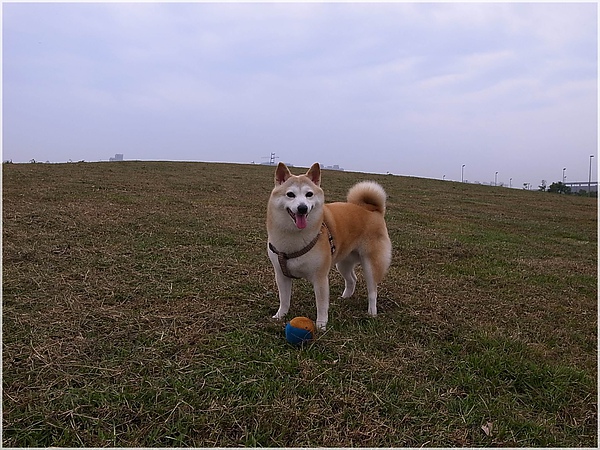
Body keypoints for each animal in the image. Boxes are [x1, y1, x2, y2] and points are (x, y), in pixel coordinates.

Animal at [268, 163, 394, 330]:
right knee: (352, 279)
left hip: (371, 264)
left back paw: (372, 312)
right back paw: (345, 297)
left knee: (373, 290)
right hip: (343, 263)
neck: (294, 237)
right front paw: (280, 315)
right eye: (290, 194)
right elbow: (284, 300)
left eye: (309, 194)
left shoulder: (320, 277)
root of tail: (372, 209)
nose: (302, 208)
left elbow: (321, 305)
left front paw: (321, 325)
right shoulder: (281, 275)